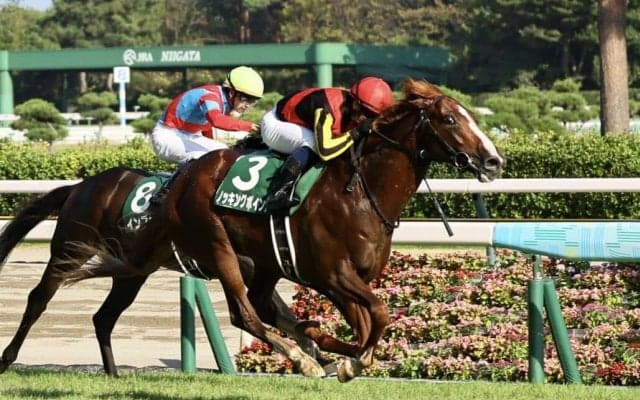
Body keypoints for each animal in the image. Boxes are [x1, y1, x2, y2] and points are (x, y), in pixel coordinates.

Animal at [0, 157, 315, 376]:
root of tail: (80, 186)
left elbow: (279, 310)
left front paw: (312, 349)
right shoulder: (236, 264)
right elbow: (267, 308)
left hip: (131, 272)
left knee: (104, 317)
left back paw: (113, 374)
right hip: (70, 250)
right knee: (38, 298)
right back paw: (7, 358)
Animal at [62, 78, 504, 381]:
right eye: (449, 118)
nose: (493, 161)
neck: (360, 192)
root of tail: (179, 182)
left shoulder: (346, 278)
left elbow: (366, 322)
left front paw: (343, 354)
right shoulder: (332, 274)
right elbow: (378, 313)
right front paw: (346, 359)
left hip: (262, 263)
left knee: (259, 306)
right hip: (217, 247)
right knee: (244, 313)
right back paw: (304, 357)